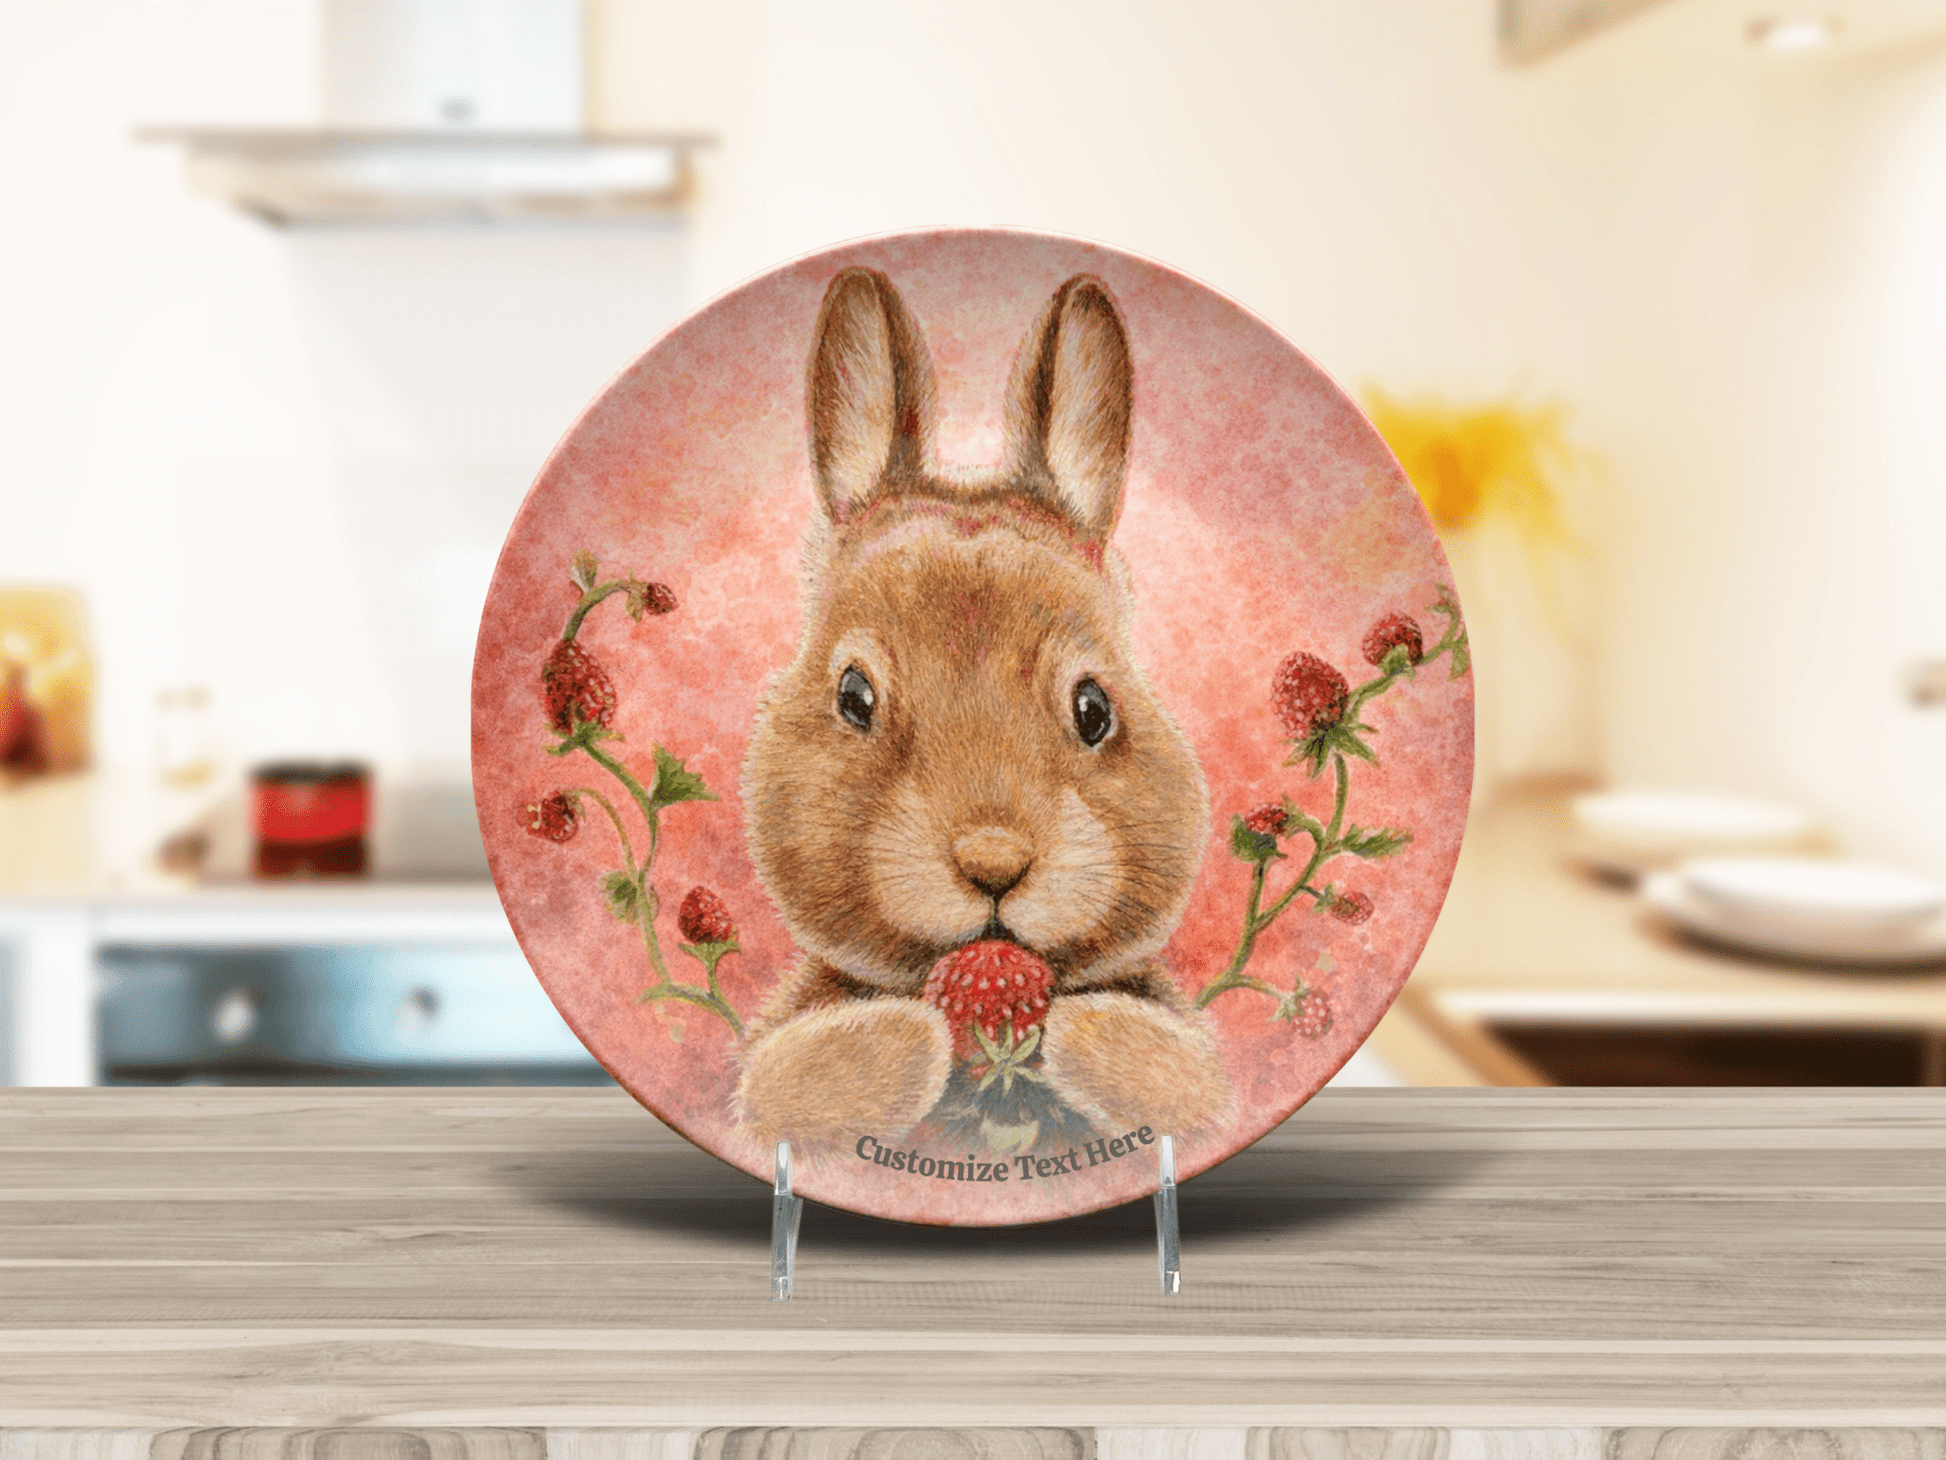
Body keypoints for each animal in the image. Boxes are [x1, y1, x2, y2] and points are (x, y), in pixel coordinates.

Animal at [734, 266, 1232, 1152]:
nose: (994, 862)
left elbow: (1189, 1083)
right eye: (853, 697)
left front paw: (1084, 1031)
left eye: (1094, 709)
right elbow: (784, 1084)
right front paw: (907, 1038)